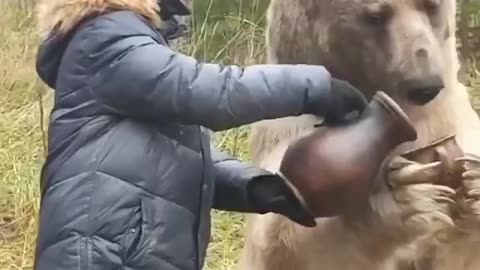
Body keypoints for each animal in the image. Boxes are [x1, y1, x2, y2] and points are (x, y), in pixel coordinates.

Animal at [240, 0, 480, 268]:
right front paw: (404, 197)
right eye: (376, 16)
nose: (425, 83)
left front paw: (474, 179)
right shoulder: (289, 123)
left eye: (432, 7)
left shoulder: (447, 117)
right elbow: (283, 238)